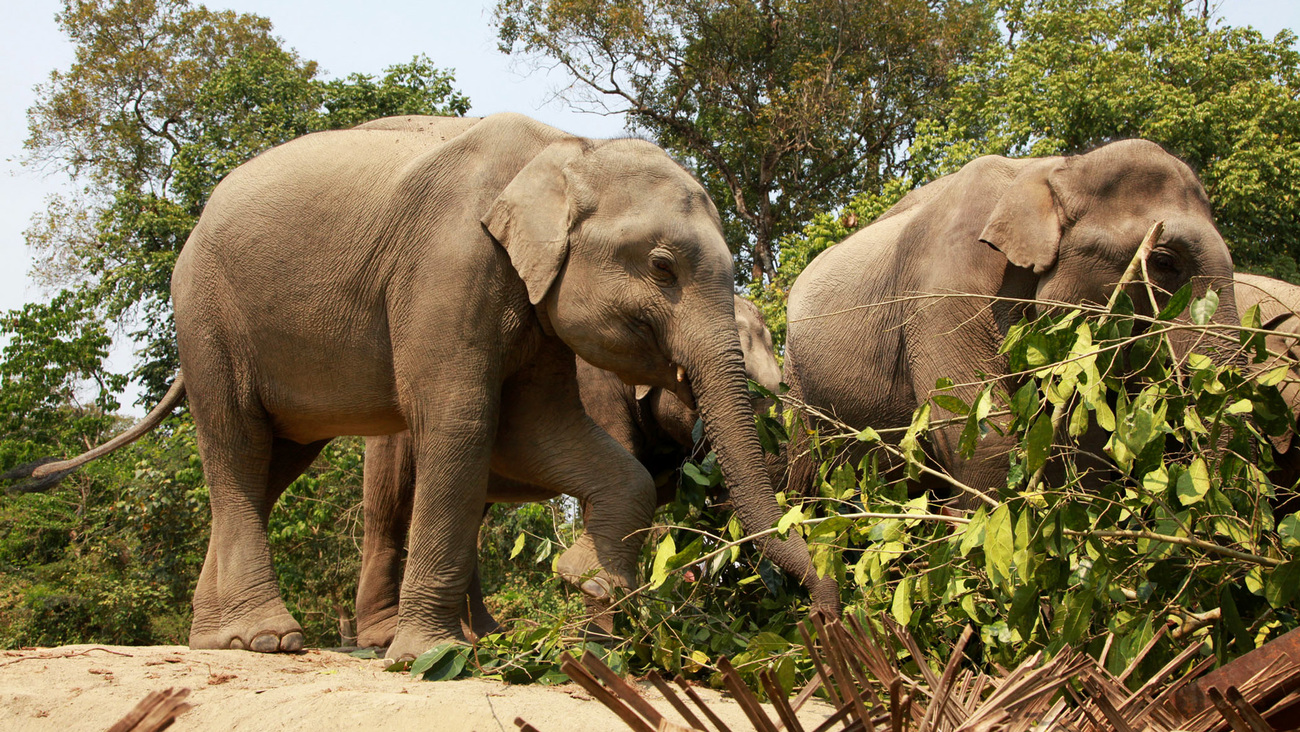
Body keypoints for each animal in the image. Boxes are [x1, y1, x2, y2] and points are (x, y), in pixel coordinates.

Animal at [780, 140, 1237, 507]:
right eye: (1163, 262)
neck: (1054, 171)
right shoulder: (944, 297)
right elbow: (983, 436)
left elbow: (1079, 439)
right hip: (797, 390)